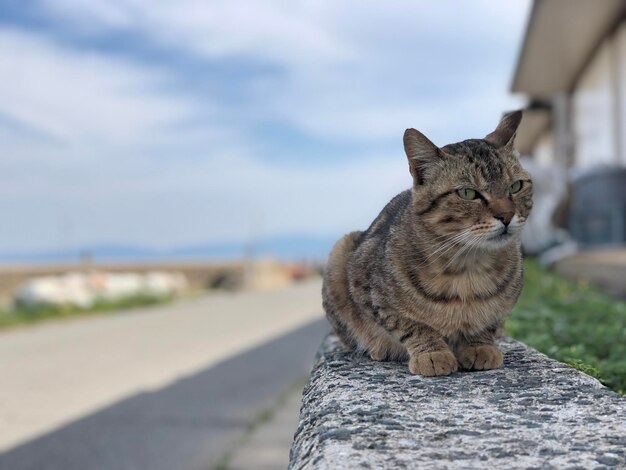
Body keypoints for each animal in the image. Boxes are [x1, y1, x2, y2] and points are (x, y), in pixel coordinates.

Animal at [322, 111, 532, 378]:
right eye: (468, 193)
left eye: (516, 186)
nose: (506, 215)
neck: (468, 268)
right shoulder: (372, 294)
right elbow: (411, 325)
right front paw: (432, 353)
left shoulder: (503, 307)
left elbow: (487, 324)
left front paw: (479, 346)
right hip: (340, 252)